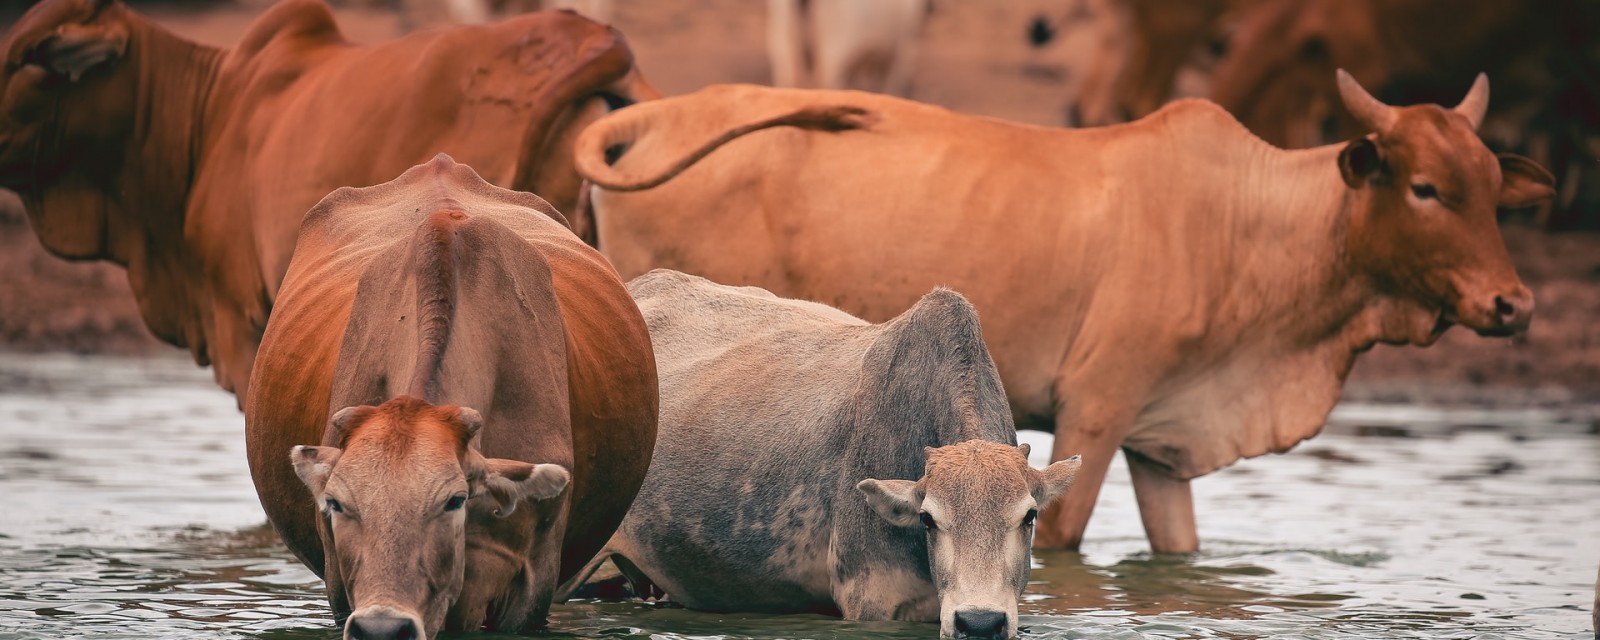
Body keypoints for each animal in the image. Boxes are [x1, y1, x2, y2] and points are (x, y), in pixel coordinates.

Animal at [569, 73, 1555, 553]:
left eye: (1491, 184)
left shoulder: (1162, 445)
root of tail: (655, 116)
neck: (1248, 226)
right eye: (1424, 188)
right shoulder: (1097, 408)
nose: (1511, 305)